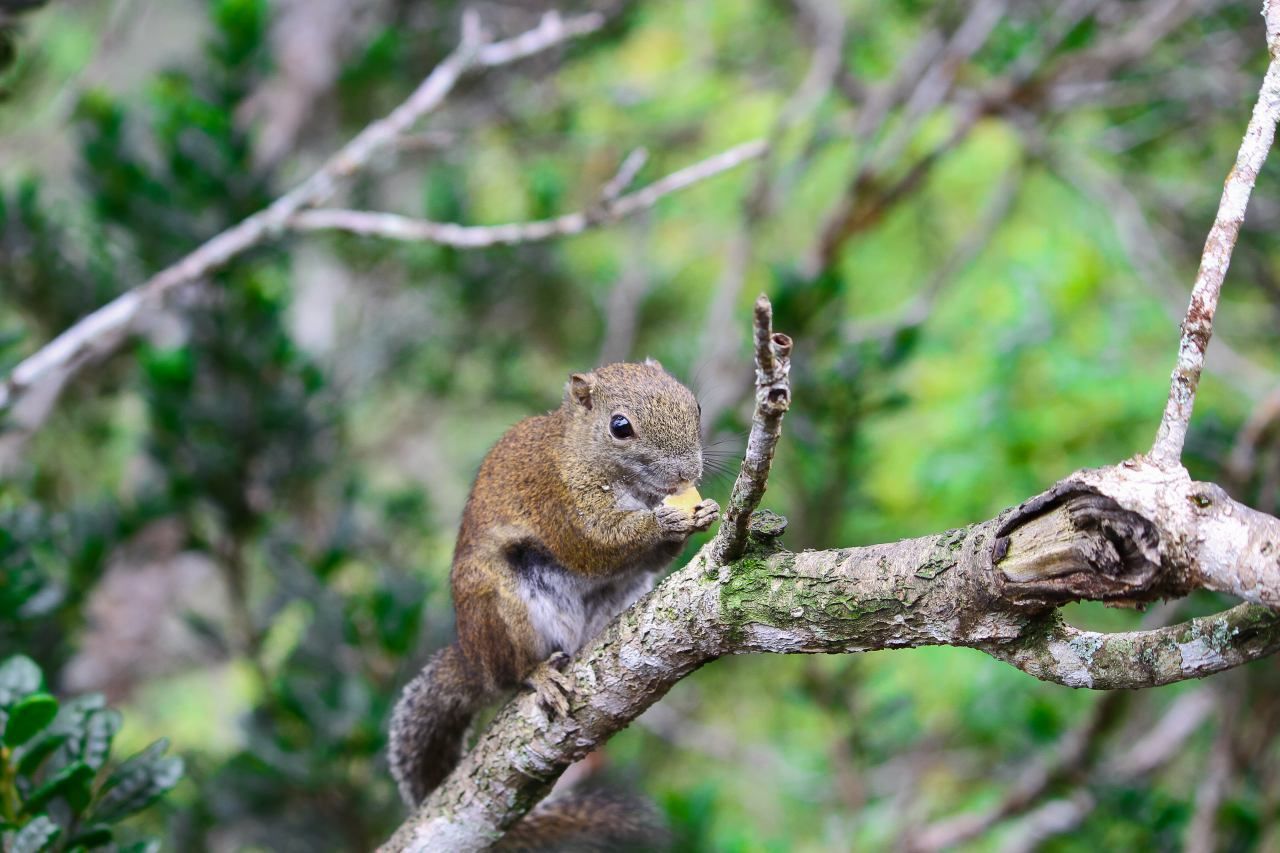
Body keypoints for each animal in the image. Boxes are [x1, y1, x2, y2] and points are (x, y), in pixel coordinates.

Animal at [386, 356, 721, 845]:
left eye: (694, 405)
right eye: (620, 426)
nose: (685, 475)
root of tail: (474, 659)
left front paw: (703, 513)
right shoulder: (556, 499)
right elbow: (596, 544)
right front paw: (666, 521)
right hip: (502, 607)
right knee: (514, 671)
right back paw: (538, 675)